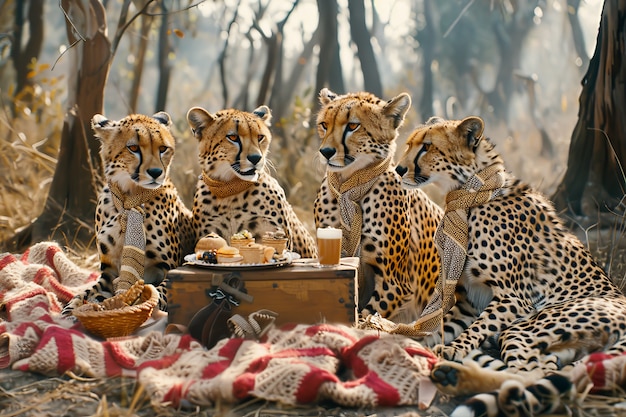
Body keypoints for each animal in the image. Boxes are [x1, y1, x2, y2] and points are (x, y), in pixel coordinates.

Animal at [314, 88, 442, 322]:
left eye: (352, 126)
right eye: (324, 125)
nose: (325, 152)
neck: (350, 183)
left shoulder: (395, 284)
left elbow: (367, 318)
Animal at [394, 115, 626, 414]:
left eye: (427, 146)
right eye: (410, 144)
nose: (398, 169)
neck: (470, 192)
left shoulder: (514, 299)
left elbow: (475, 329)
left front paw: (452, 349)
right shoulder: (471, 301)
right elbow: (438, 327)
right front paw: (400, 337)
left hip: (527, 326)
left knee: (532, 376)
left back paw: (455, 375)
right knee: (545, 374)